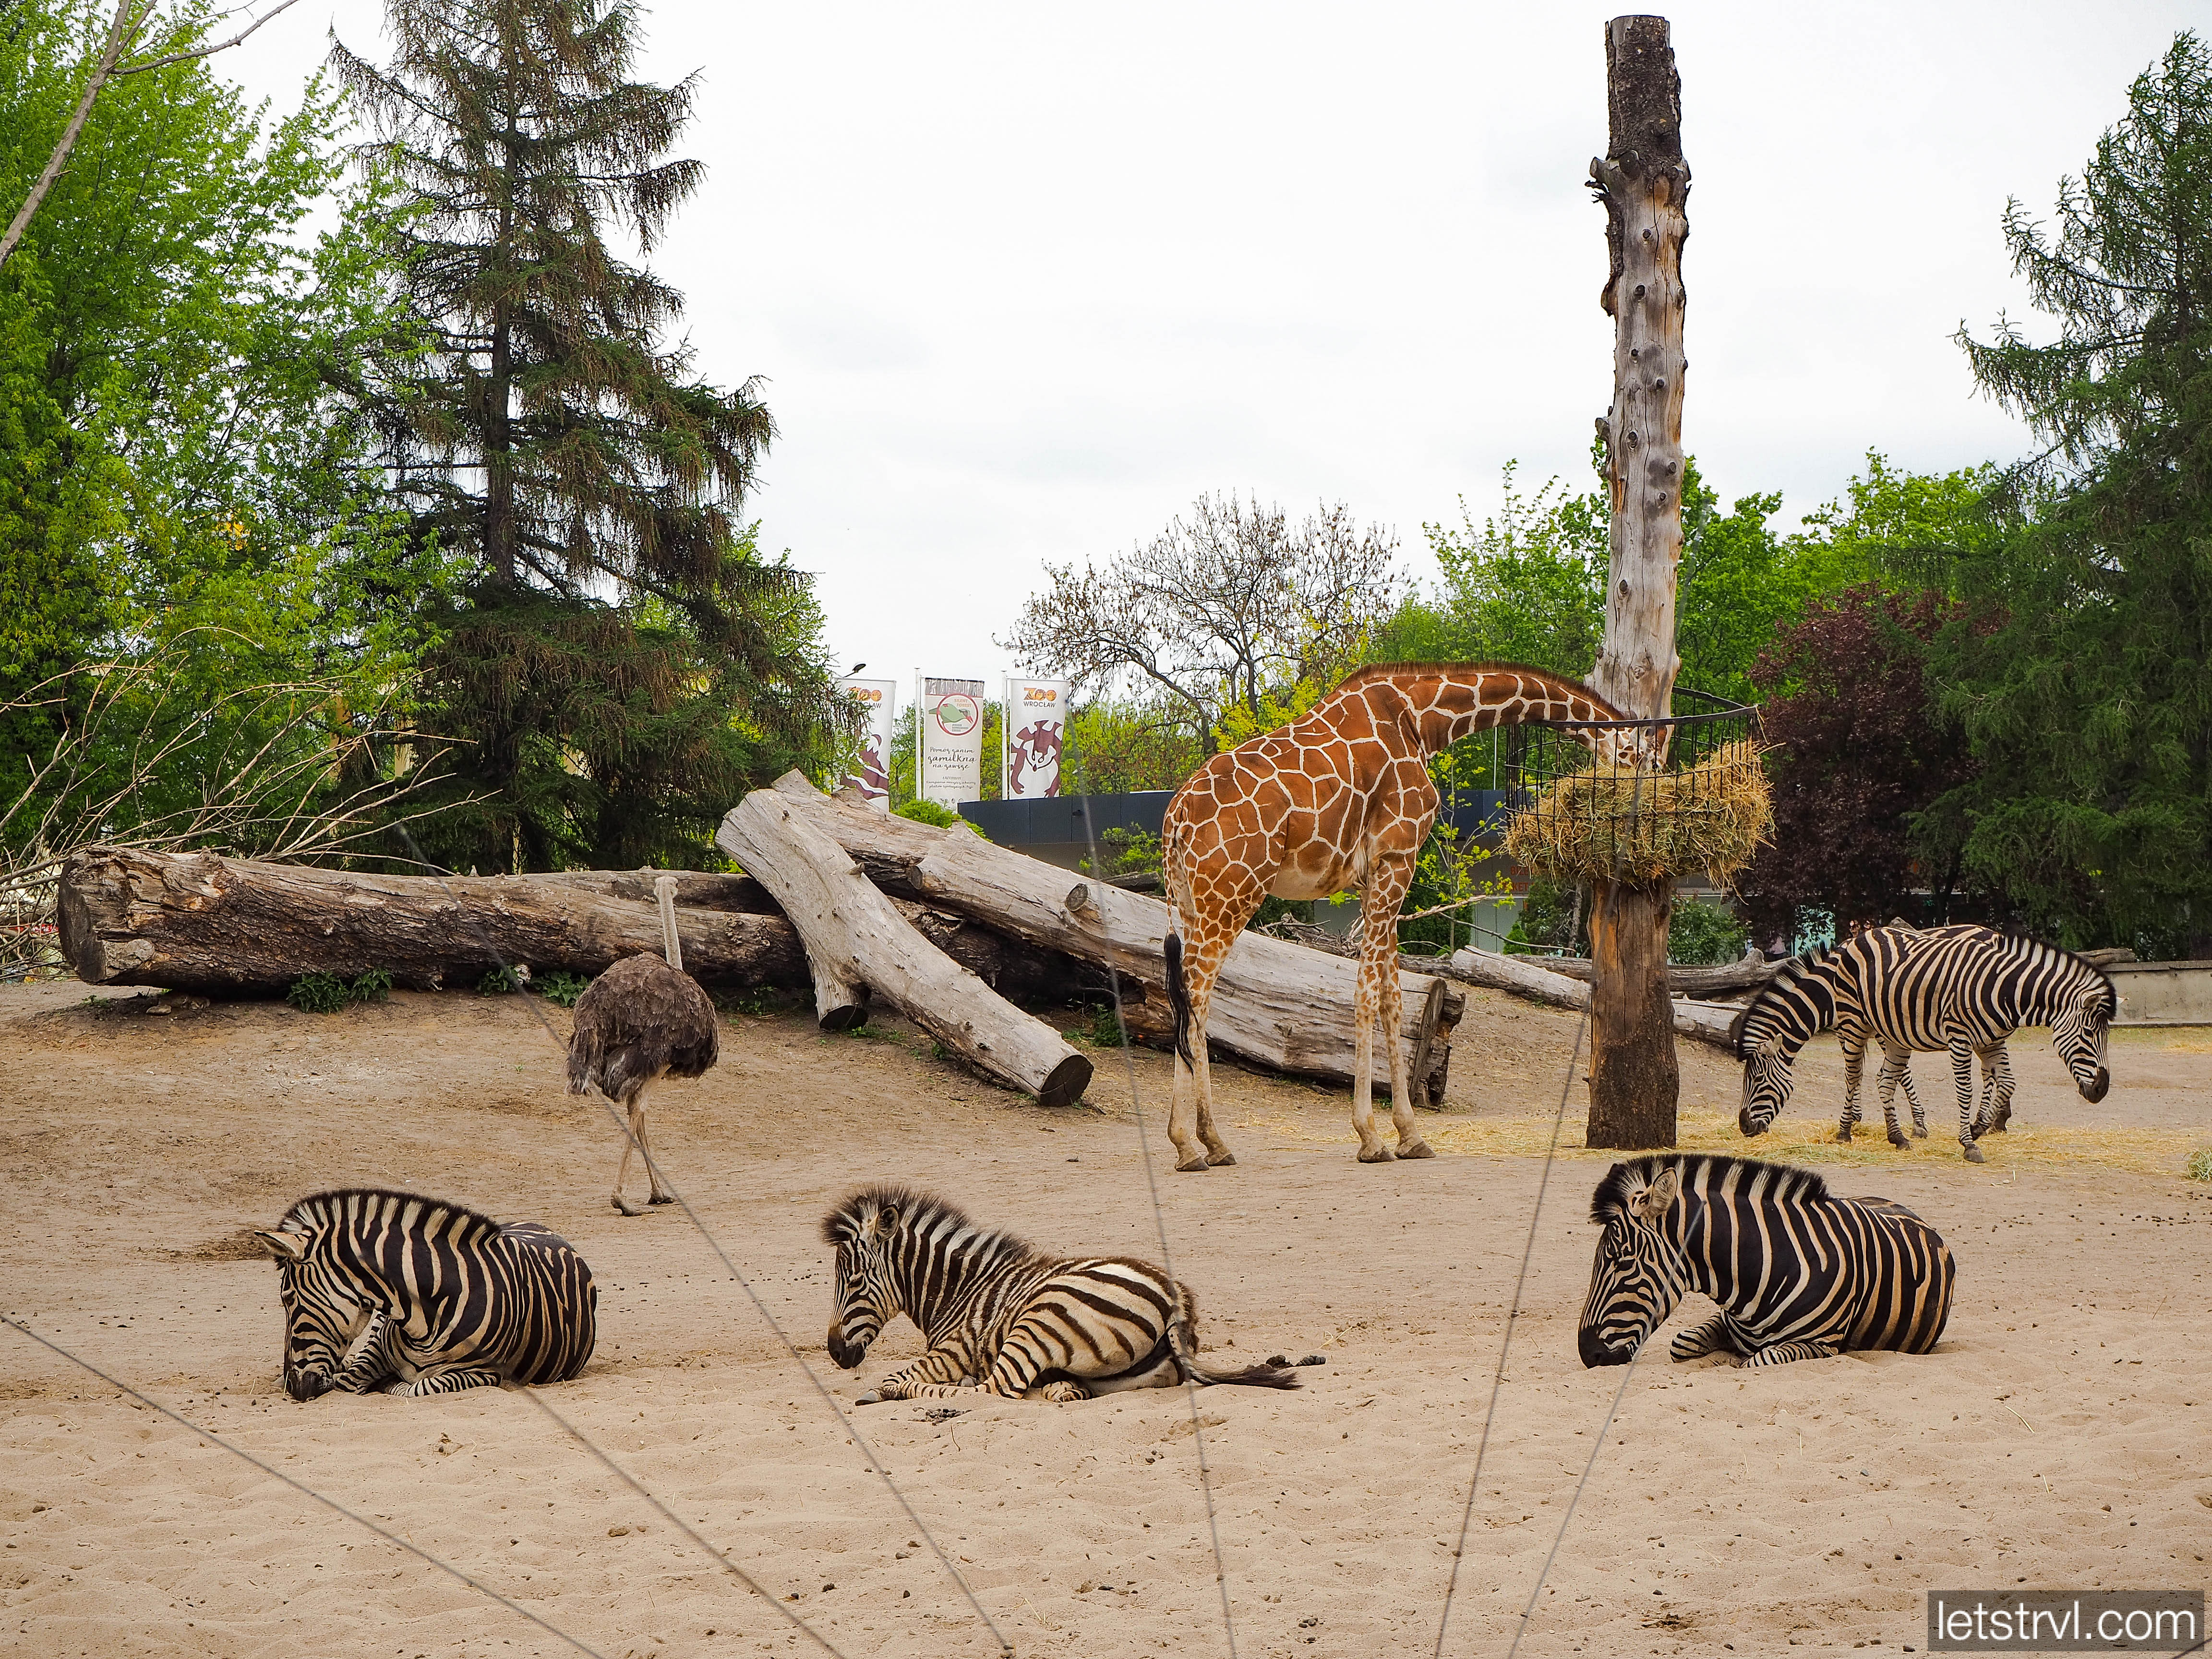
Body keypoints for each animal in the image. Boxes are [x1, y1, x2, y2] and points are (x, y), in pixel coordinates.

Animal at [253, 1185, 597, 1407]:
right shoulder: (378, 1344)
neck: (427, 1313)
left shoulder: (481, 1373)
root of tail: (539, 1226)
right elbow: (352, 1379)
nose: (293, 1387)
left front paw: (389, 1384)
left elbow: (415, 1389)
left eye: (288, 1299)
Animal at [818, 1185, 1292, 1407]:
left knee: (994, 1390)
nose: (835, 1353)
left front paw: (884, 1389)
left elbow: (896, 1377)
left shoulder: (955, 1351)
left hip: (1038, 1320)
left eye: (855, 1282)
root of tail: (1179, 1302)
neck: (960, 1291)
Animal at [1159, 663, 1628, 1168]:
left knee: (1188, 996)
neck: (1423, 720)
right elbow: (1368, 994)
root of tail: (1175, 816)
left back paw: (1204, 1143)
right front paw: (1371, 1136)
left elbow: (1394, 999)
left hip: (1191, 900)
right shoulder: (1397, 860)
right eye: (1635, 748)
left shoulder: (1373, 879)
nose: (1641, 779)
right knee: (1196, 994)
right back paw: (1196, 1142)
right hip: (1233, 893)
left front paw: (1409, 1135)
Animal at [1575, 1159, 1955, 1380]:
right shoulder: (1724, 1320)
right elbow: (1681, 1344)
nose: (1588, 1355)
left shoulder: (1820, 1345)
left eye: (1622, 1262)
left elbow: (1753, 1363)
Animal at [1734, 925, 2115, 1168]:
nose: (1744, 1128)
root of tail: (1863, 935)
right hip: (1863, 1023)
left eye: (1757, 1081)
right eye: (2089, 1034)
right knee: (1863, 1076)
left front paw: (1974, 1128)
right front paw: (1967, 1138)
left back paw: (1891, 1135)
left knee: (1875, 1077)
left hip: (1874, 1027)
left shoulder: (1987, 1040)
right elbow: (1962, 1088)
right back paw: (1855, 1133)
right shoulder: (1956, 1036)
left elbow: (2003, 1083)